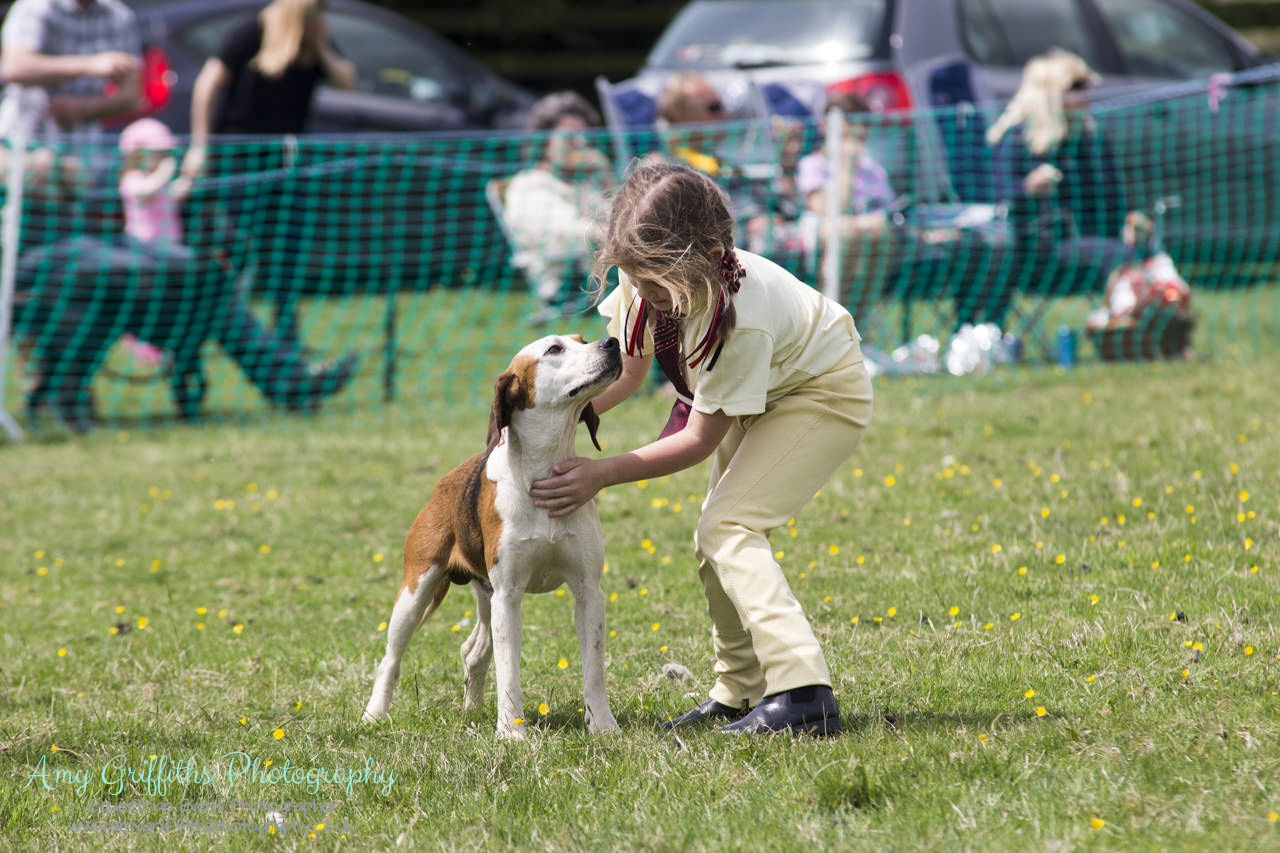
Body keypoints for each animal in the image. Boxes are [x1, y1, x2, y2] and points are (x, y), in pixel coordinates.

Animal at [363, 335, 622, 732]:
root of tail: (447, 481)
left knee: (473, 652)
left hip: (485, 595)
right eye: (555, 349)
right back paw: (374, 714)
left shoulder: (588, 592)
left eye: (581, 339)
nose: (612, 341)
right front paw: (512, 732)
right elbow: (509, 671)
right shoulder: (509, 596)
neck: (541, 471)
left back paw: (472, 709)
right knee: (391, 659)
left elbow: (593, 670)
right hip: (415, 594)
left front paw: (603, 727)